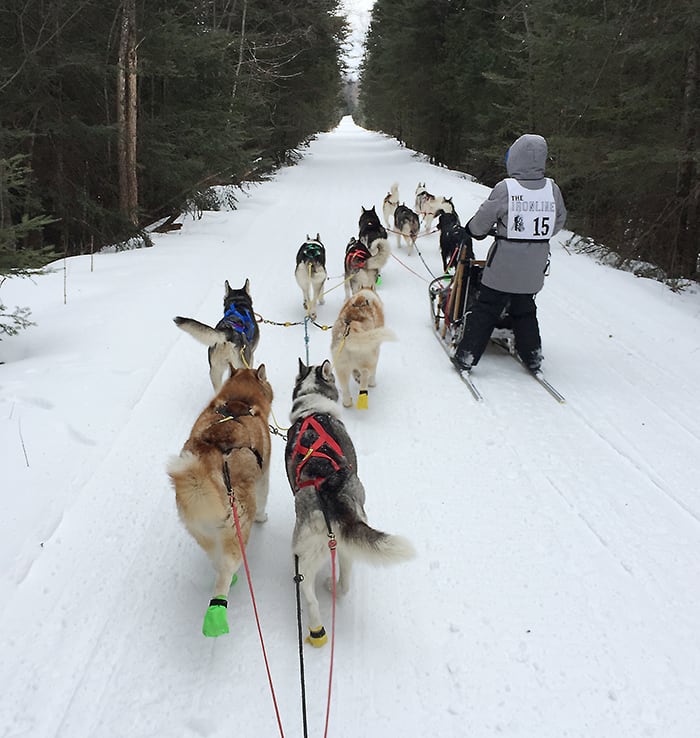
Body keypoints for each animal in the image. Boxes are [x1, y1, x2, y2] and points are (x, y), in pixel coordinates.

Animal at [165, 362, 272, 632]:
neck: (238, 402)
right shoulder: (264, 476)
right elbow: (264, 497)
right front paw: (263, 517)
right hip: (237, 528)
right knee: (226, 567)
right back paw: (216, 615)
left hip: (203, 533)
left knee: (216, 560)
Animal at [284, 360, 416, 644]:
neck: (313, 410)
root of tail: (331, 492)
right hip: (345, 542)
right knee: (343, 584)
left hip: (305, 552)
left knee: (310, 595)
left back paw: (315, 626)